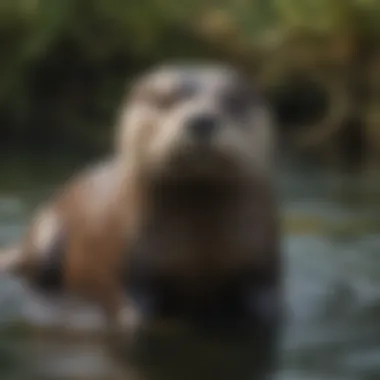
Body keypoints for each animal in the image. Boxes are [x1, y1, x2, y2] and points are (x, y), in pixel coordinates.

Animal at [0, 63, 280, 336]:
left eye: (233, 101)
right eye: (165, 99)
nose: (201, 120)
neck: (198, 245)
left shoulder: (262, 268)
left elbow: (267, 307)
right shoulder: (127, 264)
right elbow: (128, 308)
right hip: (47, 231)